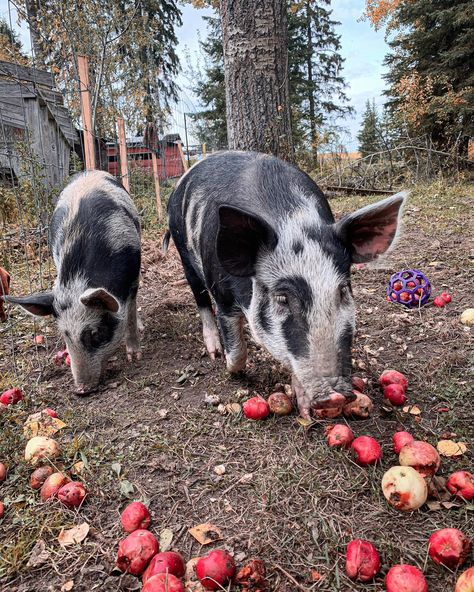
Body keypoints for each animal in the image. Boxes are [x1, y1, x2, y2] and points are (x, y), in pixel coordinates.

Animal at [3, 171, 142, 394]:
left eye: (94, 333)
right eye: (65, 336)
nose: (80, 389)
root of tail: (91, 172)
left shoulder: (133, 275)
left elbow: (129, 314)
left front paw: (135, 357)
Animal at [168, 150, 408, 418]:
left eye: (343, 290)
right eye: (282, 298)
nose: (334, 396)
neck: (294, 222)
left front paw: (304, 410)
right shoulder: (223, 296)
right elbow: (236, 347)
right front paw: (232, 370)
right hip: (183, 252)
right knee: (200, 298)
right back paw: (214, 351)